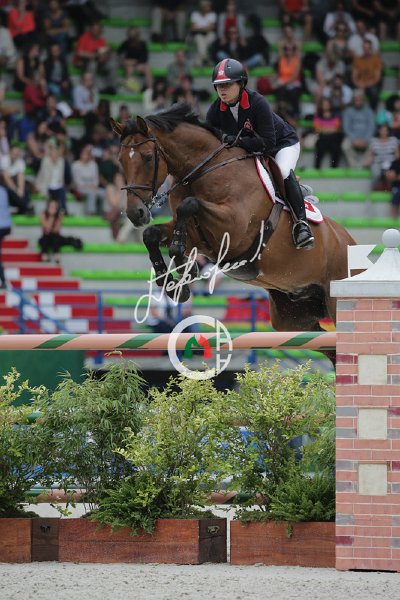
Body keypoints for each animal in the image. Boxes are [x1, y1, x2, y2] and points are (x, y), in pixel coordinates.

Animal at [111, 102, 356, 347]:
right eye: (120, 160)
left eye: (147, 158)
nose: (135, 213)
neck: (203, 169)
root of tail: (351, 242)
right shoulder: (198, 237)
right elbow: (151, 234)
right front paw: (174, 283)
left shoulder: (234, 229)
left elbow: (189, 205)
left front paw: (182, 262)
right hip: (294, 317)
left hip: (335, 300)